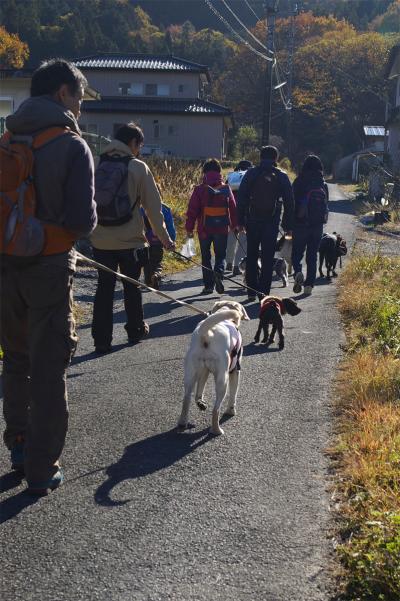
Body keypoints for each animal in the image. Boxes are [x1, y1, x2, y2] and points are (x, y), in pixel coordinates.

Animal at [177, 302, 248, 434]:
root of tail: (207, 333)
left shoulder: (204, 372)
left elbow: (199, 391)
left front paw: (200, 402)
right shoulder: (235, 371)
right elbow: (233, 394)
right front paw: (231, 410)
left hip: (190, 374)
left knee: (186, 399)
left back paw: (183, 422)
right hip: (222, 380)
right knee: (216, 409)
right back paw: (216, 430)